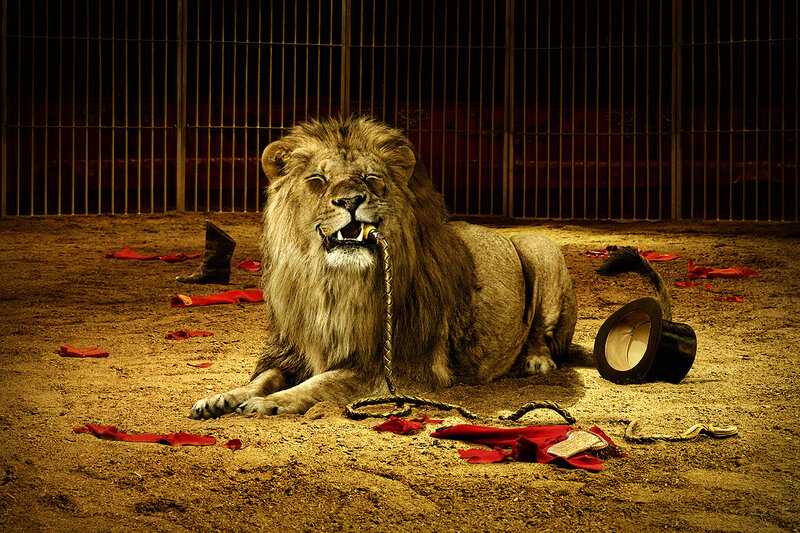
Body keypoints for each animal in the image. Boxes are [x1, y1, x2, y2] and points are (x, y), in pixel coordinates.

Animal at [189, 116, 577, 419]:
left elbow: (322, 384)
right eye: (317, 180)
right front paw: (221, 398)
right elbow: (261, 379)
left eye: (371, 178)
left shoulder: (399, 368)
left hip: (540, 247)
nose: (350, 200)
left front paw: (271, 403)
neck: (333, 285)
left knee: (543, 331)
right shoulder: (291, 351)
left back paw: (536, 361)